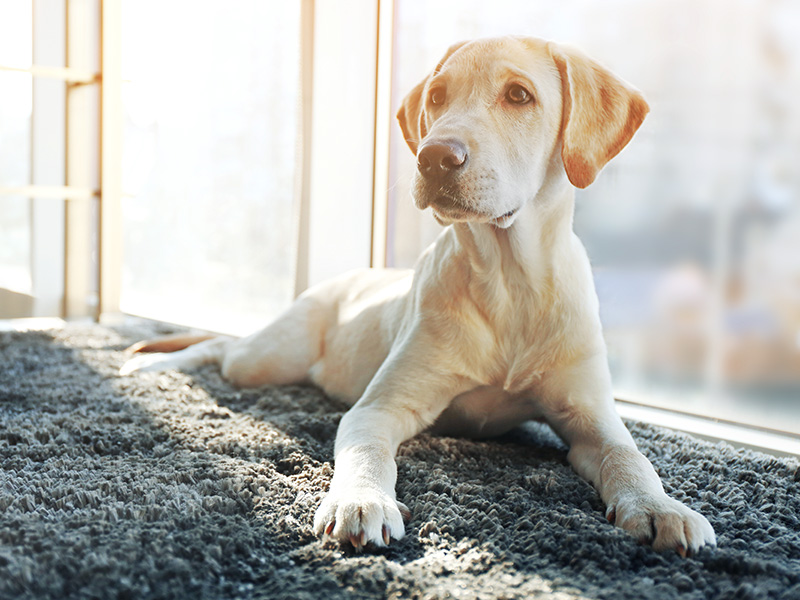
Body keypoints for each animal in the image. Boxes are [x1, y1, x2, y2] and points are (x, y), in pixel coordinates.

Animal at [120, 35, 720, 556]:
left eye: (519, 95)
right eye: (436, 97)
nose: (434, 158)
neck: (510, 281)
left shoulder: (591, 414)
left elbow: (630, 455)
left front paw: (660, 507)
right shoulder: (379, 408)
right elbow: (365, 451)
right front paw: (360, 501)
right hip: (267, 359)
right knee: (221, 349)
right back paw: (151, 366)